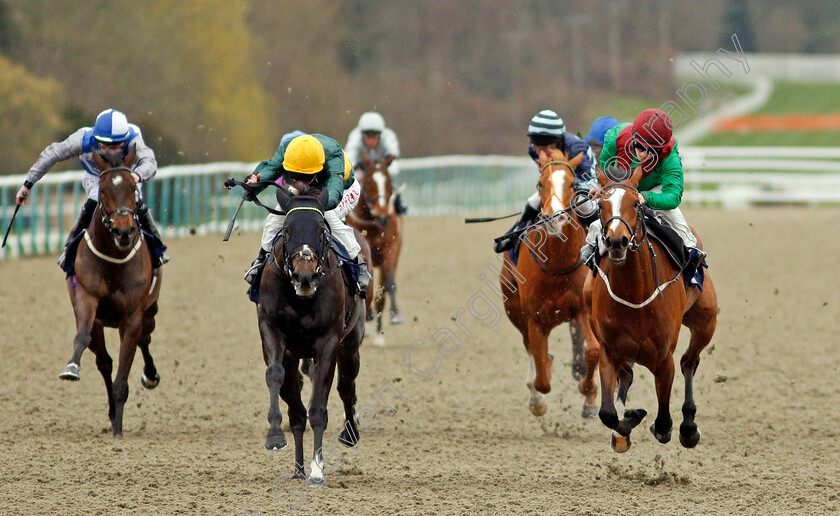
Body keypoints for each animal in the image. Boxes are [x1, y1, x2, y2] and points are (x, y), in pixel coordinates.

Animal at [58, 148, 162, 436]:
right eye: (103, 190)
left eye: (133, 187)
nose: (124, 230)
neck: (114, 260)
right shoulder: (86, 301)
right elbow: (82, 338)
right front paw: (71, 368)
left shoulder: (132, 317)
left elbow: (123, 376)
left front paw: (118, 430)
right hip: (100, 323)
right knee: (104, 362)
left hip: (150, 310)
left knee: (145, 340)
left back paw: (150, 376)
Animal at [344, 154, 404, 346]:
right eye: (370, 183)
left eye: (389, 182)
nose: (382, 214)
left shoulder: (391, 249)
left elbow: (388, 284)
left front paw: (393, 316)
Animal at [502, 148, 600, 420]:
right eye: (540, 183)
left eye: (572, 184)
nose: (554, 219)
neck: (556, 264)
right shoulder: (534, 318)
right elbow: (542, 376)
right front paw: (538, 398)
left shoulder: (582, 310)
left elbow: (592, 350)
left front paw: (588, 389)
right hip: (515, 311)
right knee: (531, 351)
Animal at [588, 166, 720, 452]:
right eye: (602, 204)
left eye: (635, 204)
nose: (616, 241)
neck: (635, 293)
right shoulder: (609, 350)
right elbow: (607, 413)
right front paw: (629, 419)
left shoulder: (663, 358)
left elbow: (662, 423)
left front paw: (660, 424)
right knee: (626, 376)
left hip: (705, 321)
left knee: (689, 362)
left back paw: (689, 427)